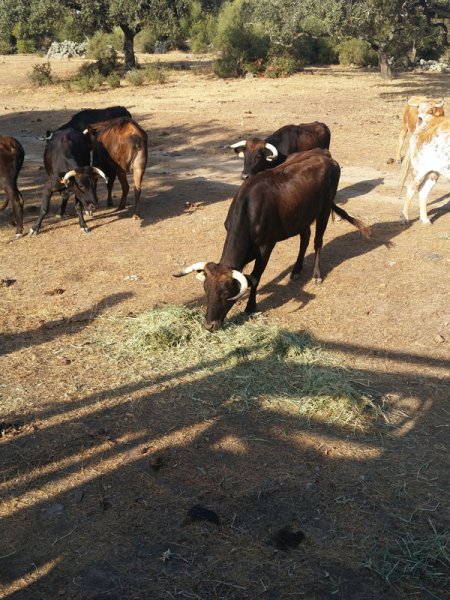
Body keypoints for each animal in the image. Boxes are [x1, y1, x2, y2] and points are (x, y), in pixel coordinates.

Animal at [174, 148, 370, 330]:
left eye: (226, 293)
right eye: (206, 290)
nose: (209, 325)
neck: (249, 211)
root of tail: (324, 155)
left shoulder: (266, 247)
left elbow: (255, 277)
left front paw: (250, 307)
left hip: (324, 209)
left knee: (317, 242)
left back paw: (316, 275)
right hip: (301, 216)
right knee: (305, 238)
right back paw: (296, 270)